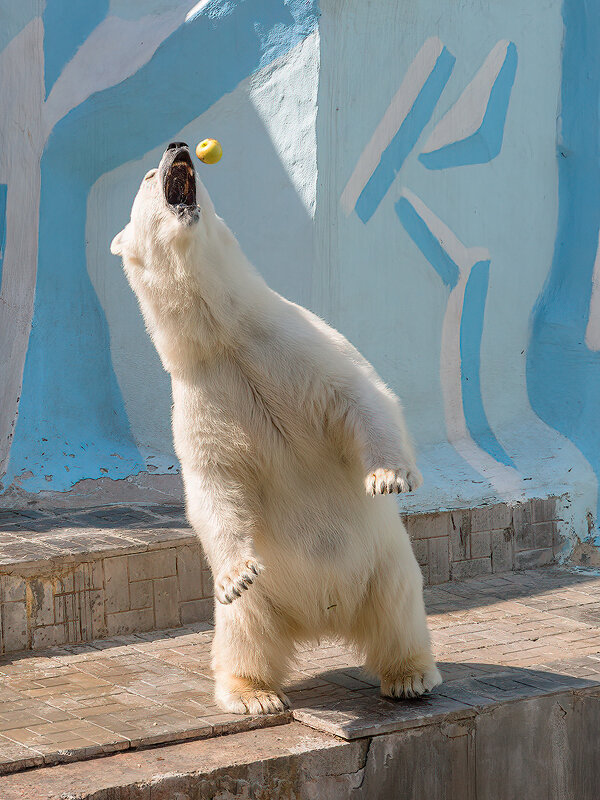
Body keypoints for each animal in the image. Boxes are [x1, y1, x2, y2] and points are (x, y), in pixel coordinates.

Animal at [111, 142, 440, 712]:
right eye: (150, 175)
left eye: (163, 161)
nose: (177, 146)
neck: (225, 334)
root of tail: (323, 621)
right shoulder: (202, 396)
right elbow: (214, 483)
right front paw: (236, 574)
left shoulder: (296, 342)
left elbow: (361, 394)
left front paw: (387, 477)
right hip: (265, 604)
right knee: (245, 630)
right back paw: (252, 695)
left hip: (387, 565)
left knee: (400, 611)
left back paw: (410, 676)